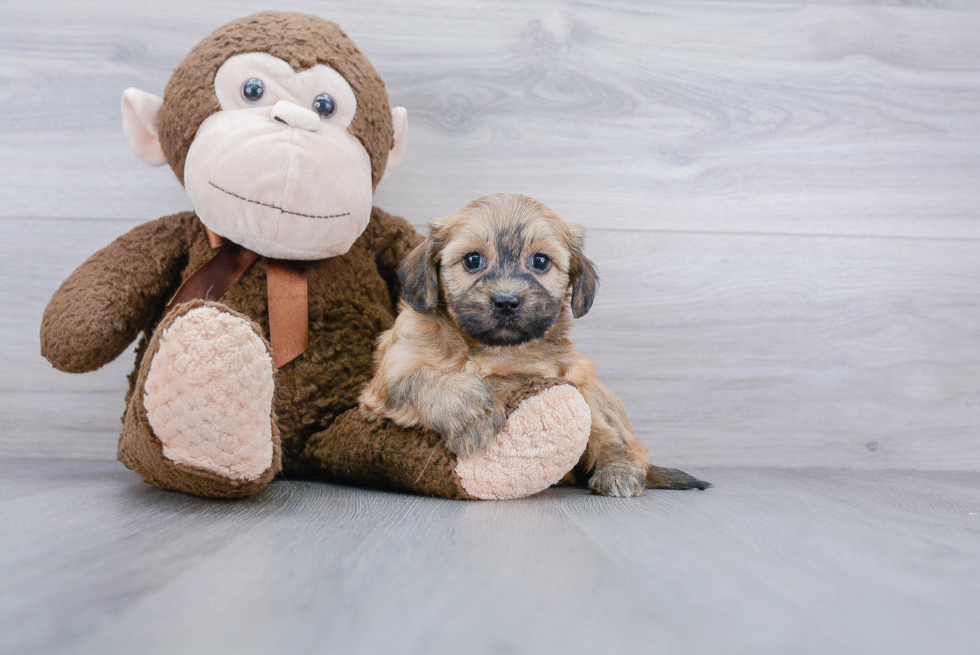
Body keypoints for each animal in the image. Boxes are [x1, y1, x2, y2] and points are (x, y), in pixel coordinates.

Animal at [358, 195, 704, 498]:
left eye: (540, 261)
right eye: (473, 260)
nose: (506, 301)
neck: (484, 346)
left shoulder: (550, 372)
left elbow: (511, 380)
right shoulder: (393, 369)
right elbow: (426, 380)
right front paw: (474, 416)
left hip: (592, 392)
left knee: (619, 440)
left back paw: (617, 471)